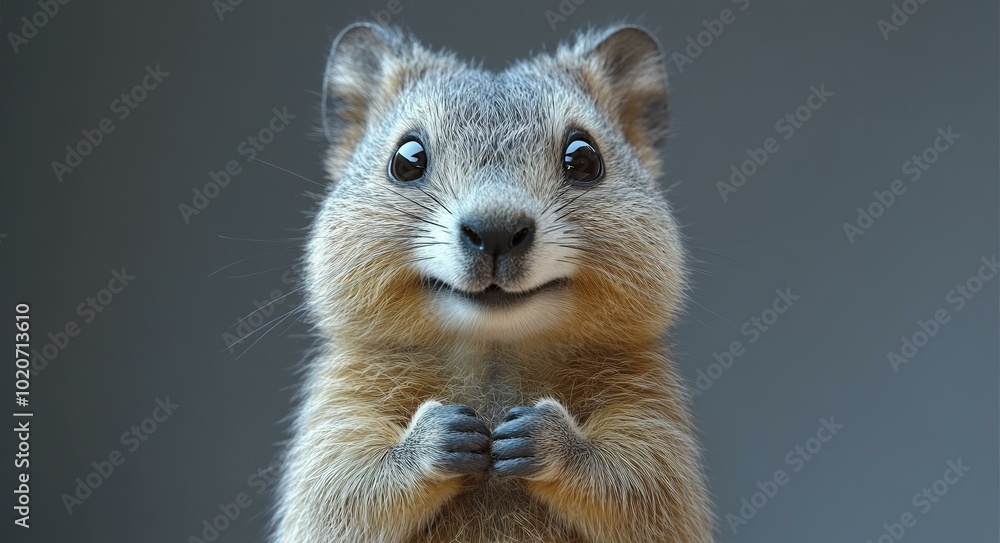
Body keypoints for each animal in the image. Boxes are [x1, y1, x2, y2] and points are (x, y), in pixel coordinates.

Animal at [272, 22, 714, 543]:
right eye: (407, 159)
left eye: (584, 158)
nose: (497, 231)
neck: (494, 357)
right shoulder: (334, 425)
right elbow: (347, 488)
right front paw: (439, 439)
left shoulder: (656, 429)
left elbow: (637, 482)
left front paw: (544, 439)